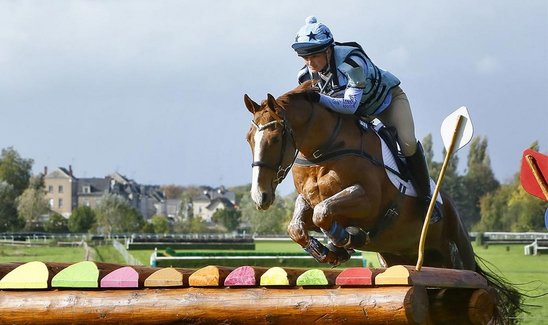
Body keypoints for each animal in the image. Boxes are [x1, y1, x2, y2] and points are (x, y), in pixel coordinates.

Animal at [244, 80, 524, 322]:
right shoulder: (311, 201)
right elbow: (299, 224)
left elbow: (322, 213)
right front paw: (327, 251)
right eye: (249, 139)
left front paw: (345, 241)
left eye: (276, 138)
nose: (260, 197)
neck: (323, 152)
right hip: (397, 259)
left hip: (459, 254)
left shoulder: (367, 202)